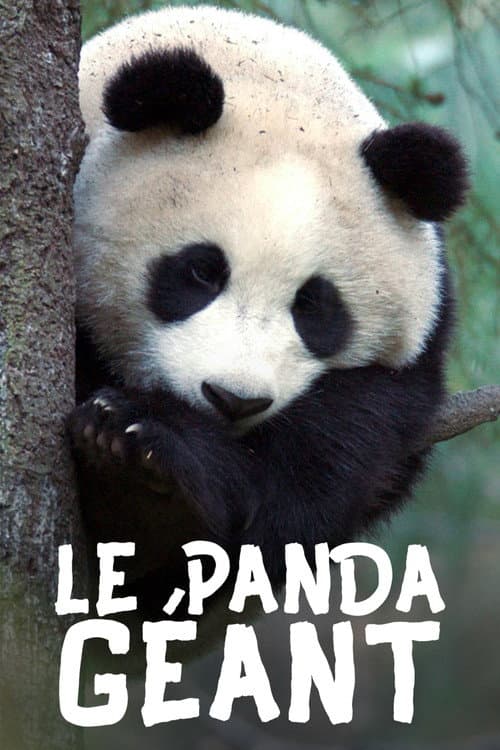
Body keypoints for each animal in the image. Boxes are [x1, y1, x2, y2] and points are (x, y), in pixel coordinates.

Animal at [70, 5, 468, 620]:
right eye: (201, 272)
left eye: (314, 306)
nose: (233, 400)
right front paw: (127, 454)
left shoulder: (421, 341)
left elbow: (337, 451)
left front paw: (151, 467)